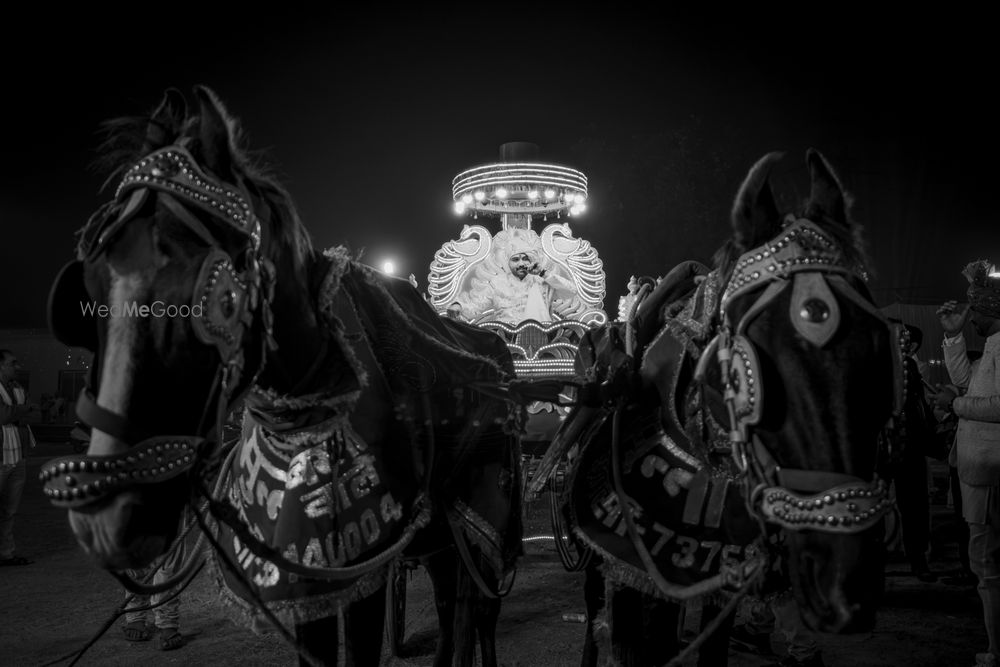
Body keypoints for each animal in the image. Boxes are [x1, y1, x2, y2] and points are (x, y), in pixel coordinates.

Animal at [39, 86, 524, 664]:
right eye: (89, 290)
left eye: (216, 298)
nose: (106, 518)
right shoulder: (310, 577)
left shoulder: (370, 567)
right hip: (443, 537)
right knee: (455, 610)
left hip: (485, 519)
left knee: (479, 612)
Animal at [536, 149, 904, 664]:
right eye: (742, 374)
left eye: (879, 350)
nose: (844, 585)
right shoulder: (623, 565)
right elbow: (631, 641)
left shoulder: (717, 579)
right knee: (596, 612)